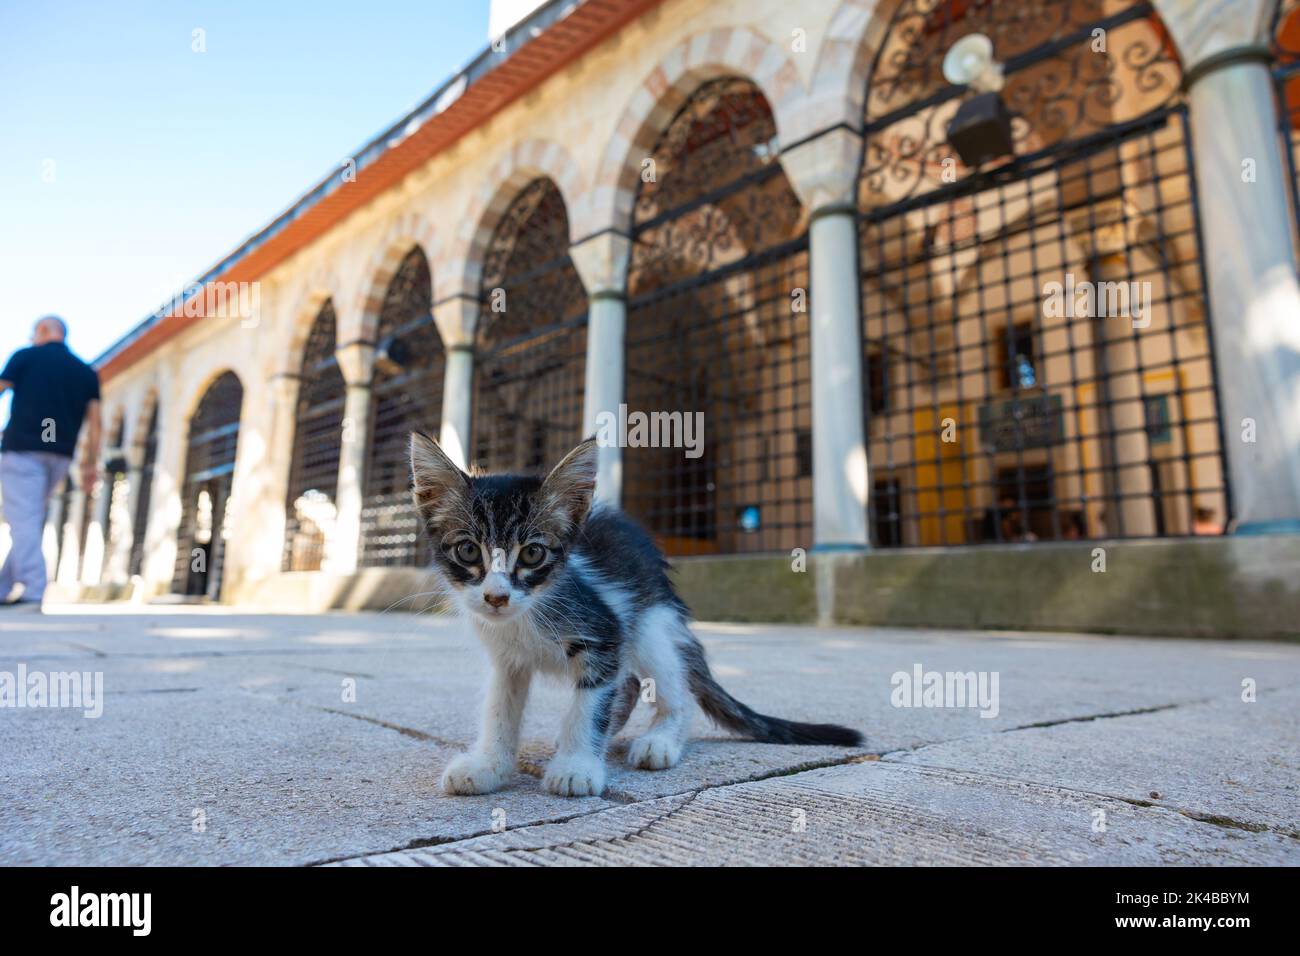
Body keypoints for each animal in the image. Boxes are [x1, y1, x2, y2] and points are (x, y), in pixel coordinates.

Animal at [410, 434, 863, 801]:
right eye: (468, 550)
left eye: (533, 553)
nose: (496, 597)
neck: (532, 609)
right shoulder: (508, 659)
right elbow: (500, 708)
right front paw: (488, 764)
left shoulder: (604, 631)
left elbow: (590, 703)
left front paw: (577, 765)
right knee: (625, 684)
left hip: (649, 623)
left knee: (673, 686)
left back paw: (660, 740)